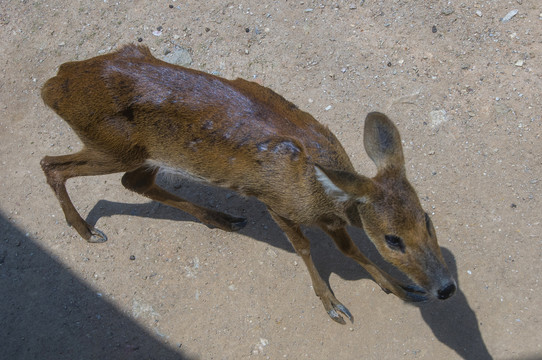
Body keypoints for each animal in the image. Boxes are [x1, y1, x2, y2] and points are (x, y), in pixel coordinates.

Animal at [42, 44, 456, 324]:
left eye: (427, 219)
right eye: (392, 239)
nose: (446, 288)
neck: (318, 190)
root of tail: (54, 84)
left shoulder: (331, 218)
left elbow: (350, 249)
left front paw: (400, 288)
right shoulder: (278, 204)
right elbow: (305, 249)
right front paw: (333, 305)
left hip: (140, 153)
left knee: (133, 182)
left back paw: (222, 218)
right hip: (112, 146)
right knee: (52, 164)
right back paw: (87, 231)